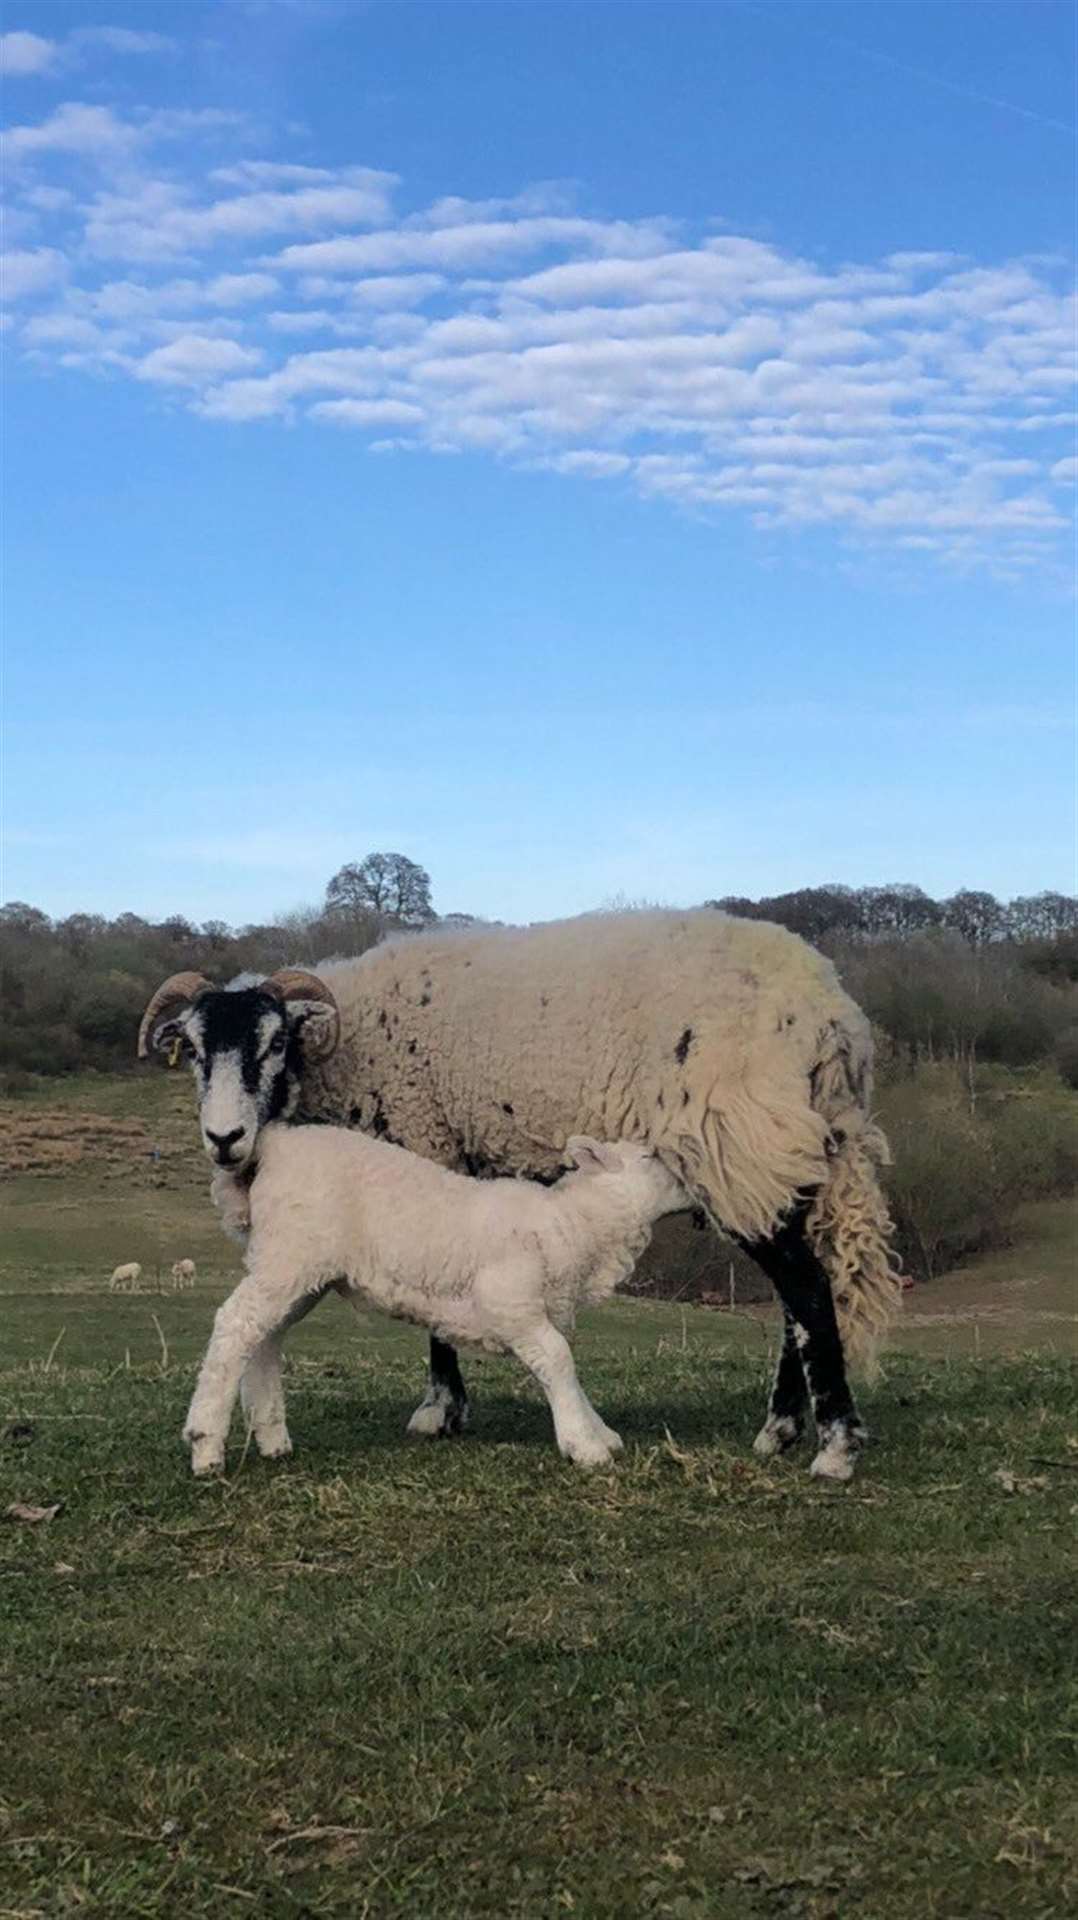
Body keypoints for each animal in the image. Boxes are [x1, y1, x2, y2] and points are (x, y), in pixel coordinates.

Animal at [179, 1121, 676, 1474]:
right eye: (648, 1156)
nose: (685, 1177)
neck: (574, 1223)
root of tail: (277, 1144)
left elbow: (564, 1366)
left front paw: (598, 1430)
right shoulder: (510, 1303)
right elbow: (558, 1359)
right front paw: (584, 1444)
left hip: (297, 1272)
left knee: (264, 1336)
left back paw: (272, 1438)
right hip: (290, 1257)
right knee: (236, 1324)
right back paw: (206, 1445)